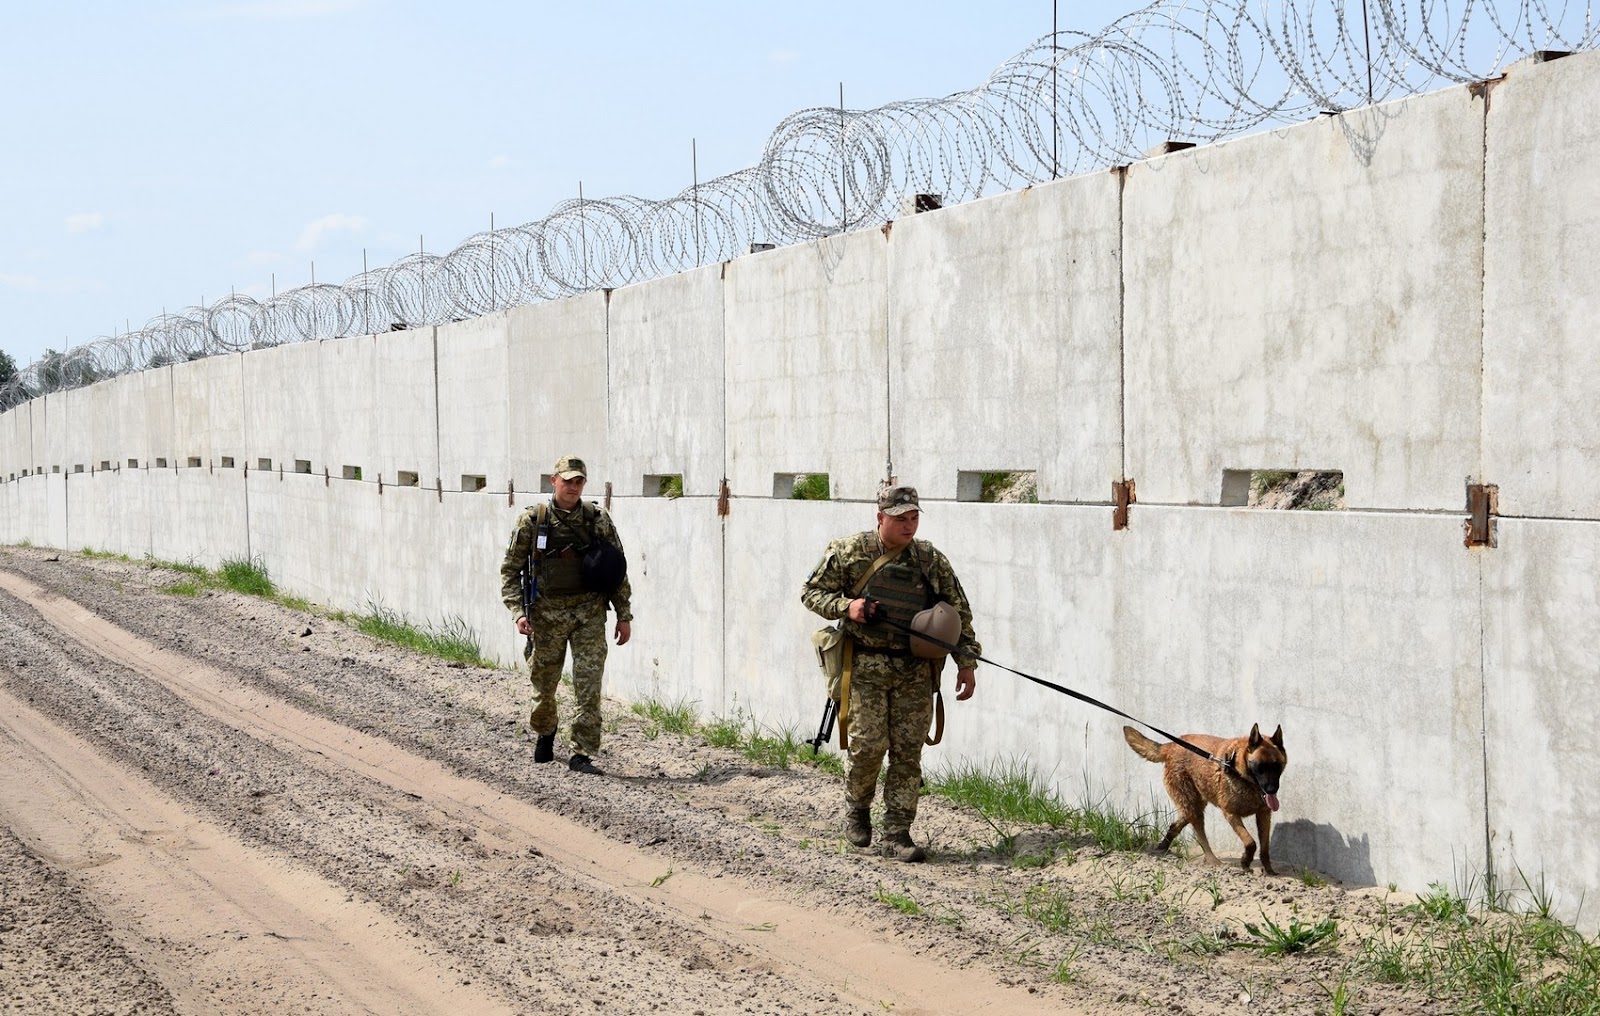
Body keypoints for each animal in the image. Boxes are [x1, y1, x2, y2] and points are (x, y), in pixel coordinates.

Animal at [1126, 723, 1286, 876]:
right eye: (1260, 766)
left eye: (1276, 766)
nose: (1271, 790)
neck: (1239, 770)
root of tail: (1171, 745)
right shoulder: (1231, 814)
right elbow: (1250, 842)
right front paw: (1245, 862)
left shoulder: (1264, 815)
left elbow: (1264, 848)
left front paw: (1268, 869)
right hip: (1193, 807)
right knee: (1201, 835)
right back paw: (1212, 860)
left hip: (1192, 806)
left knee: (1175, 825)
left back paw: (1162, 848)